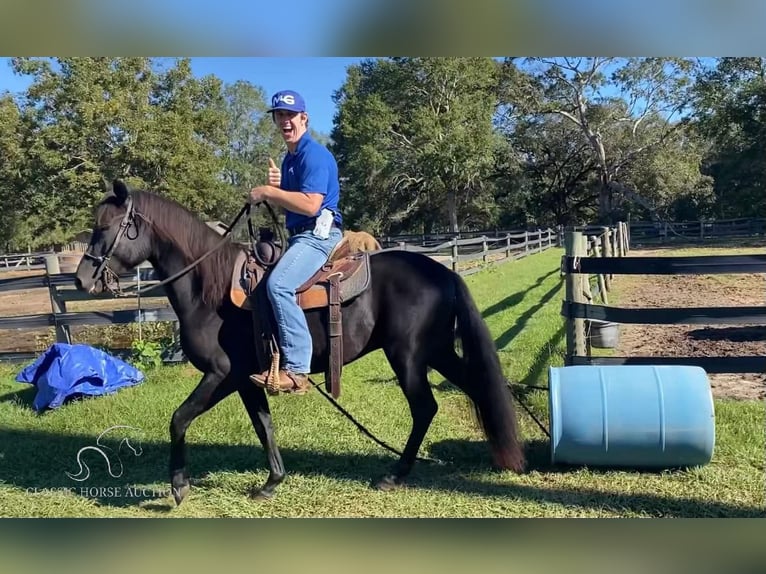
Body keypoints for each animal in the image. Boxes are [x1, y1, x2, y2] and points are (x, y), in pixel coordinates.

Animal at [75, 181, 524, 508]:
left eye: (105, 228)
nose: (81, 279)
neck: (208, 287)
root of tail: (443, 272)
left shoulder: (222, 374)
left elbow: (179, 418)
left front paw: (179, 486)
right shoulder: (247, 378)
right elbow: (264, 425)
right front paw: (272, 481)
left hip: (409, 357)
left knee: (425, 408)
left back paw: (395, 475)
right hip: (438, 352)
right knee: (476, 386)